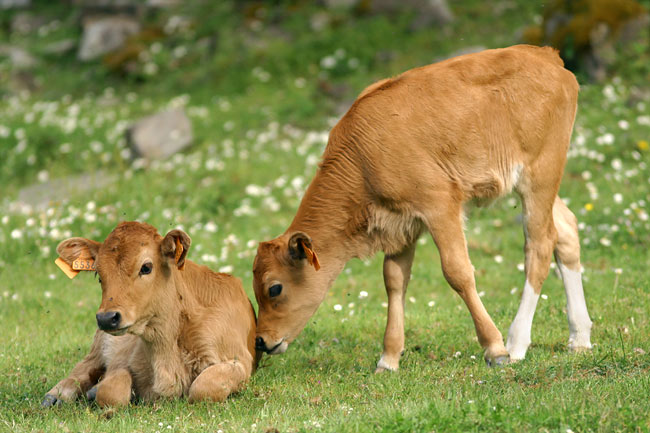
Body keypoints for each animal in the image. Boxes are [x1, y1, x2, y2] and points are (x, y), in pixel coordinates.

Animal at [41, 221, 256, 406]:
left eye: (146, 267)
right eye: (98, 274)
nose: (106, 318)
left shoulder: (240, 361)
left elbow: (204, 387)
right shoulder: (121, 358)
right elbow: (111, 392)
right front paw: (98, 391)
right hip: (97, 347)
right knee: (81, 370)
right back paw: (55, 396)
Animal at [252, 44, 592, 370]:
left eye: (274, 289)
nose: (260, 341)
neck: (363, 158)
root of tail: (546, 55)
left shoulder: (439, 204)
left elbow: (457, 272)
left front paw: (495, 350)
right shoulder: (400, 222)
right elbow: (394, 279)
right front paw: (388, 359)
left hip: (540, 173)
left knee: (540, 243)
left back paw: (517, 343)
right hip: (540, 182)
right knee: (566, 230)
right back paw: (580, 338)